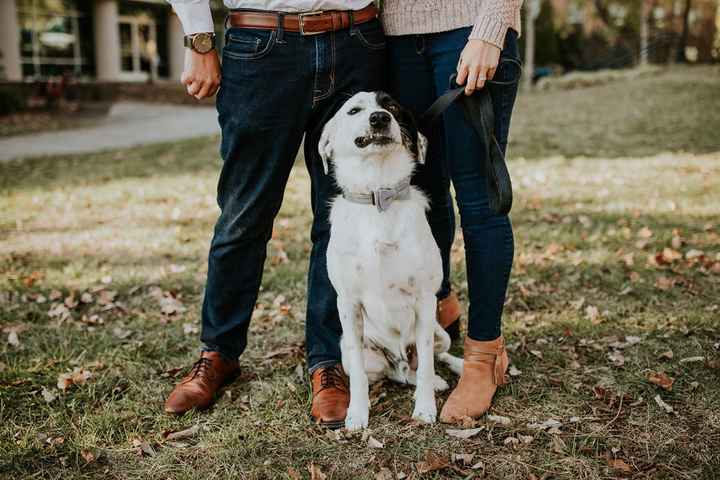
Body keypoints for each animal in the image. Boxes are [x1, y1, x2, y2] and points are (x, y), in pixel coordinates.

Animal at [320, 92, 464, 430]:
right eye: (354, 110)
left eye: (393, 107)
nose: (380, 118)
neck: (378, 194)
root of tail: (398, 358)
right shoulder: (347, 304)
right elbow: (359, 376)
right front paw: (357, 414)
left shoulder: (425, 299)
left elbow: (426, 364)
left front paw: (425, 408)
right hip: (353, 351)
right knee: (396, 373)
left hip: (438, 332)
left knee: (431, 360)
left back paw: (451, 373)